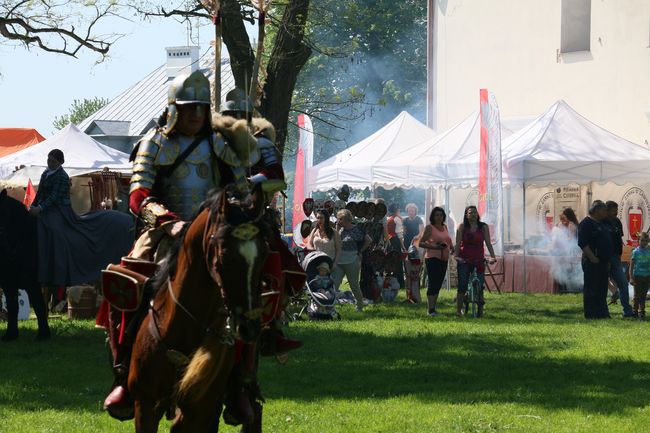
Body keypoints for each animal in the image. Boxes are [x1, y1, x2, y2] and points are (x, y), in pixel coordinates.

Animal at [0, 189, 49, 340]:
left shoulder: (32, 283)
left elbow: (39, 305)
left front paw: (43, 335)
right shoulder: (8, 283)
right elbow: (12, 307)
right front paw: (10, 335)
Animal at [128, 188, 270, 432]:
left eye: (263, 255)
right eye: (224, 255)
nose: (249, 328)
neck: (181, 327)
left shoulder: (200, 411)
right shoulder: (144, 406)